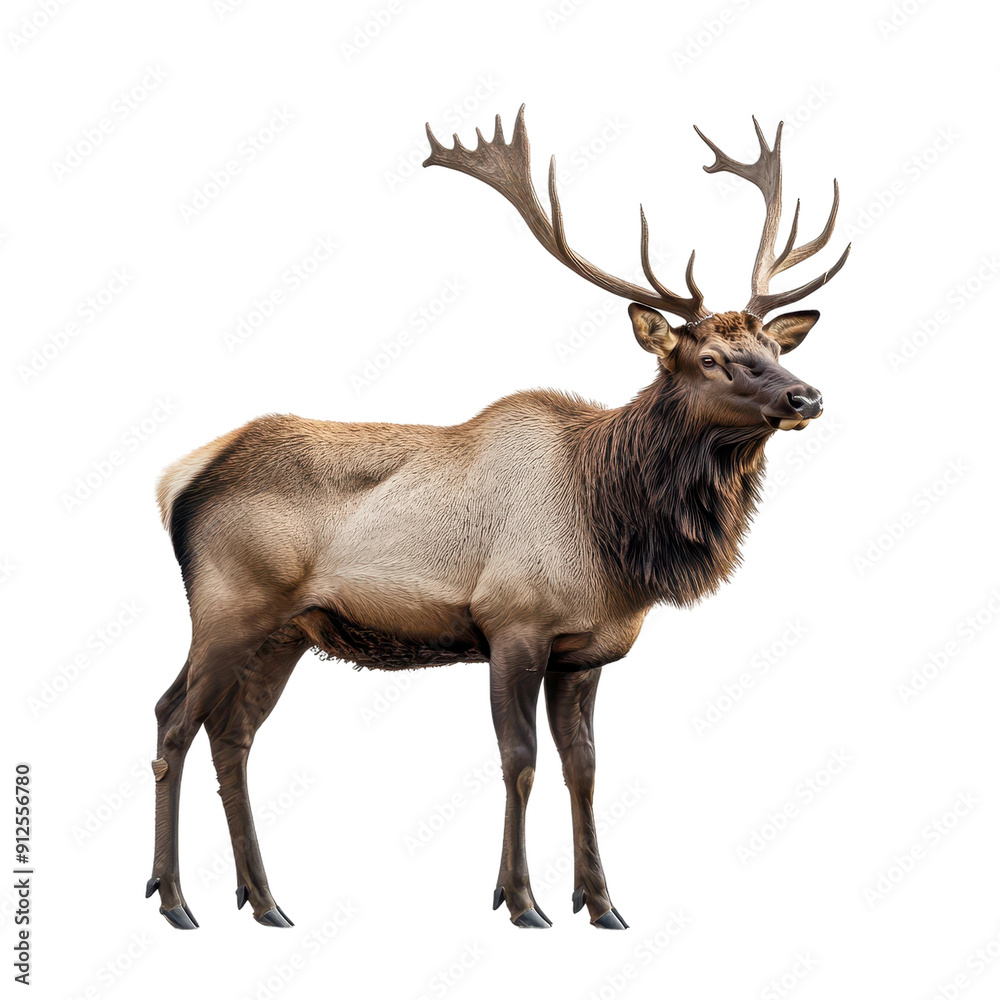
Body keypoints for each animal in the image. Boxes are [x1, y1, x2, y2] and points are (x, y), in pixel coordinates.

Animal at [146, 106, 849, 931]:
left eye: (772, 343)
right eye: (708, 359)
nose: (806, 396)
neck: (614, 532)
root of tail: (179, 479)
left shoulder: (584, 651)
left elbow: (584, 767)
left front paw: (601, 903)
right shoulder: (512, 622)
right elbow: (520, 762)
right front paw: (521, 901)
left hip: (286, 631)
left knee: (233, 735)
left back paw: (263, 901)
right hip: (230, 605)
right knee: (172, 720)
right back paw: (175, 900)